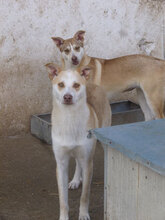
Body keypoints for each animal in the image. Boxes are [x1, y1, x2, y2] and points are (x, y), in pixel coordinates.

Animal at [45, 63, 111, 220]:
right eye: (61, 84)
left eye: (76, 85)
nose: (67, 97)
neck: (69, 118)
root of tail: (92, 84)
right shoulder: (61, 164)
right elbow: (63, 200)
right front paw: (63, 217)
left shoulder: (88, 162)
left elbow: (84, 196)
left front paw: (83, 214)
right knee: (77, 162)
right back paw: (75, 180)